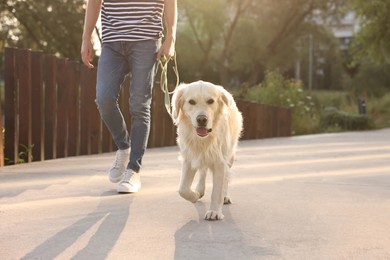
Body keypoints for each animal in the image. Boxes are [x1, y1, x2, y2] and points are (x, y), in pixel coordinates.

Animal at [171, 80, 242, 219]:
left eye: (210, 101)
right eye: (191, 101)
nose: (202, 119)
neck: (203, 140)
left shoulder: (220, 162)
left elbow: (217, 190)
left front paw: (214, 211)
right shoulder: (189, 158)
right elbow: (182, 189)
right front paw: (194, 196)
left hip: (230, 156)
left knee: (226, 177)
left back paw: (224, 196)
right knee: (202, 172)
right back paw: (199, 189)